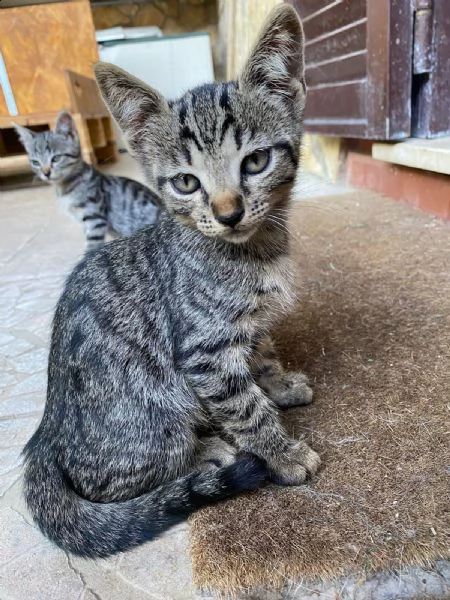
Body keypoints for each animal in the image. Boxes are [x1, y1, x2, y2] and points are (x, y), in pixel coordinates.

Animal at [14, 112, 161, 248]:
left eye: (56, 158)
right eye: (35, 162)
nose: (46, 173)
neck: (64, 188)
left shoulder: (94, 218)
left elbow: (92, 246)